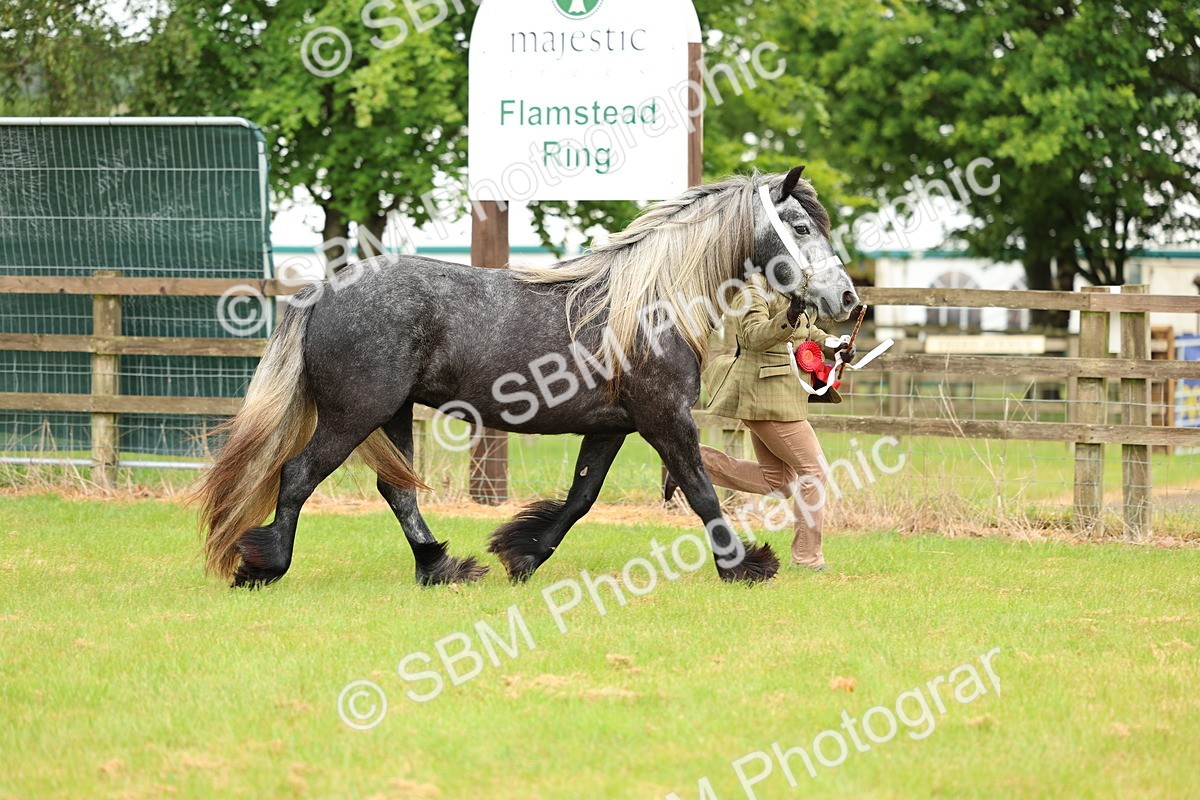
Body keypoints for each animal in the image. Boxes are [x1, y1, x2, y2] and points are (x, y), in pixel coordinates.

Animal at [196, 166, 859, 588]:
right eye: (801, 227)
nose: (847, 299)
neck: (648, 303)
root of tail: (324, 290)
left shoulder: (612, 427)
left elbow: (580, 499)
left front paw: (522, 554)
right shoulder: (664, 418)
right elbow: (700, 490)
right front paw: (742, 565)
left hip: (391, 415)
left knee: (398, 491)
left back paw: (441, 568)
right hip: (354, 413)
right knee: (299, 474)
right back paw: (265, 565)